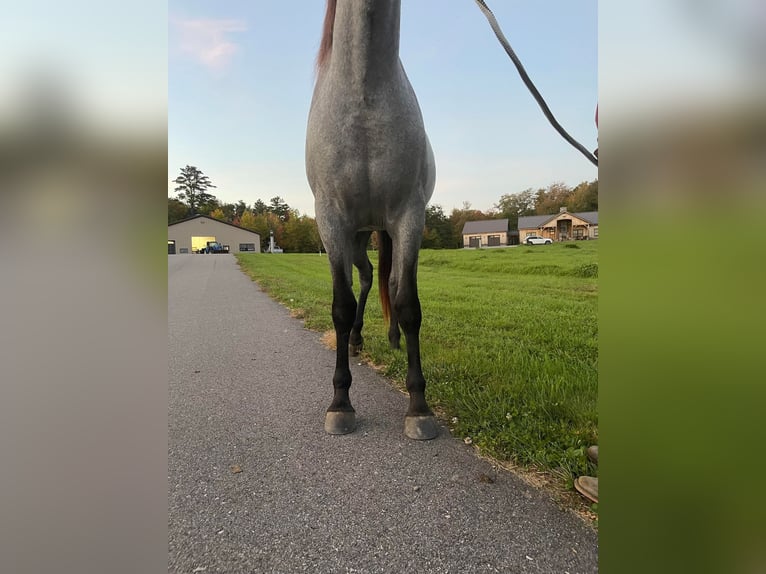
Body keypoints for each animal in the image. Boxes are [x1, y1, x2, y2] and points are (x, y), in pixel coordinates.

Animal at [306, 0, 438, 440]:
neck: (364, 95)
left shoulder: (410, 216)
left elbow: (409, 303)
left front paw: (419, 407)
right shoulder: (331, 221)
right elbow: (341, 307)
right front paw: (340, 402)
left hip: (381, 230)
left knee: (389, 282)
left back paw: (391, 339)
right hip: (356, 235)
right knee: (364, 278)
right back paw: (357, 339)